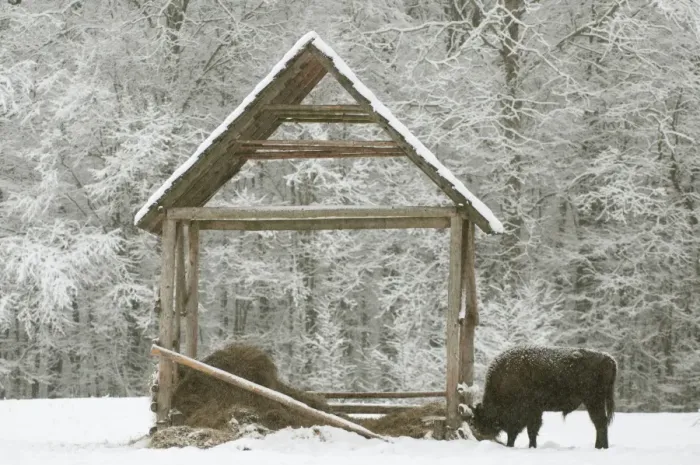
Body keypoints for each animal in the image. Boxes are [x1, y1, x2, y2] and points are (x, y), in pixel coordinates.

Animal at [467, 345, 617, 449]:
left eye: (480, 417)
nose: (478, 430)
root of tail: (609, 358)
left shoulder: (528, 412)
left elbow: (526, 431)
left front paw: (519, 446)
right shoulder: (535, 411)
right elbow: (530, 431)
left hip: (593, 401)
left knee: (600, 423)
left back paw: (600, 447)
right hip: (594, 401)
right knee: (600, 423)